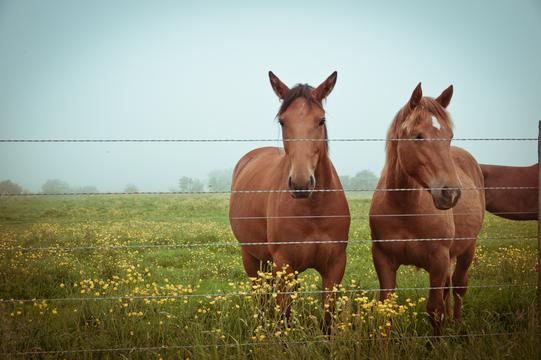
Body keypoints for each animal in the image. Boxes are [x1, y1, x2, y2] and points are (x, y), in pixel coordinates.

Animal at [228, 71, 350, 332]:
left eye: (321, 120)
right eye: (283, 122)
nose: (301, 183)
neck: (314, 211)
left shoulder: (335, 266)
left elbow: (327, 320)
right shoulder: (284, 264)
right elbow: (284, 318)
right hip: (251, 257)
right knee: (260, 300)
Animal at [370, 83, 484, 334]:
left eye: (449, 136)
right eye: (418, 136)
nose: (451, 193)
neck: (405, 208)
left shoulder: (439, 259)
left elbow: (435, 310)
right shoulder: (383, 258)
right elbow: (386, 308)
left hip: (468, 248)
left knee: (459, 287)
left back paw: (457, 324)